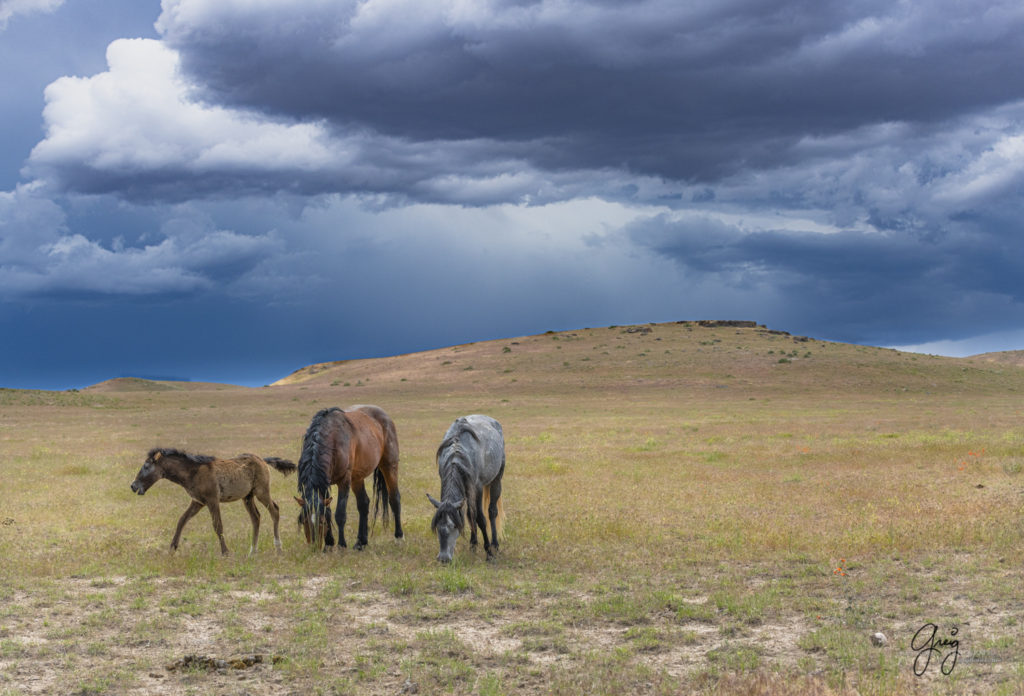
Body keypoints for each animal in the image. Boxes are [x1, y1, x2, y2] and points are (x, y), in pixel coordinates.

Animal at [130, 448, 294, 556]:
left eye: (146, 466)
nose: (133, 486)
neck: (194, 472)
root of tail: (262, 460)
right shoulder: (198, 502)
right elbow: (182, 520)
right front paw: (172, 548)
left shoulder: (212, 500)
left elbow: (218, 526)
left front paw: (225, 552)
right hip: (247, 497)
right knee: (256, 517)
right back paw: (252, 551)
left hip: (261, 492)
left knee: (274, 511)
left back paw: (278, 548)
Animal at [294, 405, 401, 552]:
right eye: (304, 521)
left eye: (321, 522)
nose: (315, 547)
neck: (331, 439)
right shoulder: (326, 482)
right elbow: (328, 510)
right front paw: (329, 543)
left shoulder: (344, 481)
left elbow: (340, 514)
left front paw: (341, 545)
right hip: (357, 477)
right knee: (363, 504)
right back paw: (361, 542)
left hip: (389, 466)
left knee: (394, 499)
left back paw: (399, 537)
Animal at [423, 415, 503, 560]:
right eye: (437, 526)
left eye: (454, 526)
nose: (443, 558)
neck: (457, 453)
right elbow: (470, 516)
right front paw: (473, 545)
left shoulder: (477, 488)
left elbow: (480, 519)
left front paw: (488, 553)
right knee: (470, 514)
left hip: (496, 480)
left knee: (492, 512)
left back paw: (495, 544)